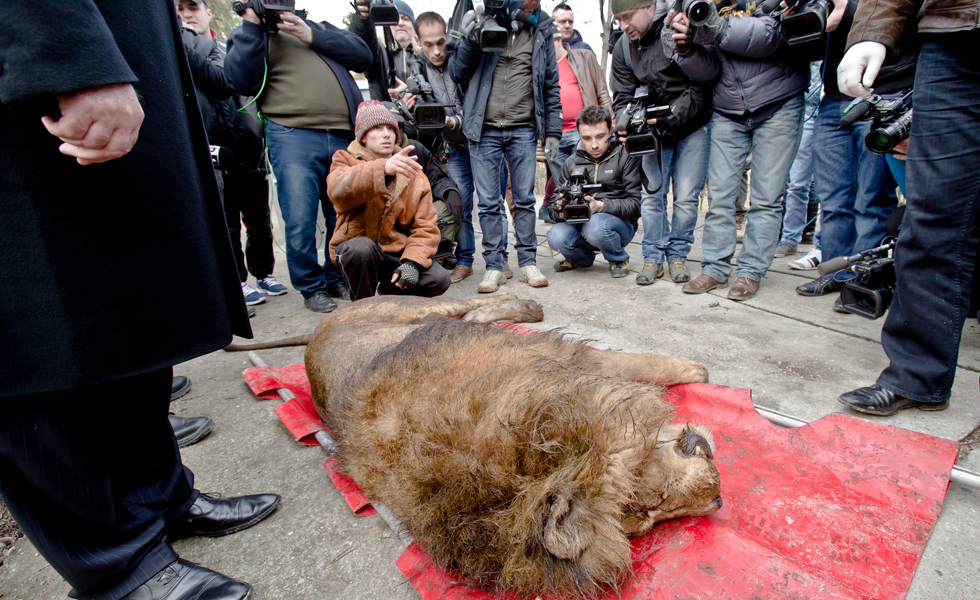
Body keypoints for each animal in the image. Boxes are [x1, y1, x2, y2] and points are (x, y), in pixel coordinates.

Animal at [302, 294, 724, 596]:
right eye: (647, 514)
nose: (718, 497)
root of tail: (318, 329)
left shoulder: (557, 359)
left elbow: (644, 365)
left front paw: (696, 371)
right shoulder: (571, 362)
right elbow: (645, 364)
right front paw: (697, 369)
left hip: (420, 307)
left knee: (472, 306)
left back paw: (528, 307)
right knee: (471, 311)